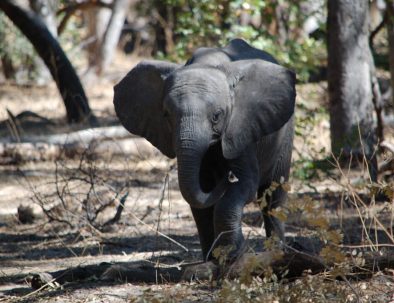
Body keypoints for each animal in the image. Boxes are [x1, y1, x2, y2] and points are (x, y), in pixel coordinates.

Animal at [114, 38, 296, 262]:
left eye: (217, 116)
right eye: (166, 115)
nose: (228, 176)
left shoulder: (240, 127)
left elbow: (245, 184)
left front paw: (232, 255)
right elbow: (200, 195)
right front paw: (215, 258)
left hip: (284, 135)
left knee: (273, 196)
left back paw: (277, 253)